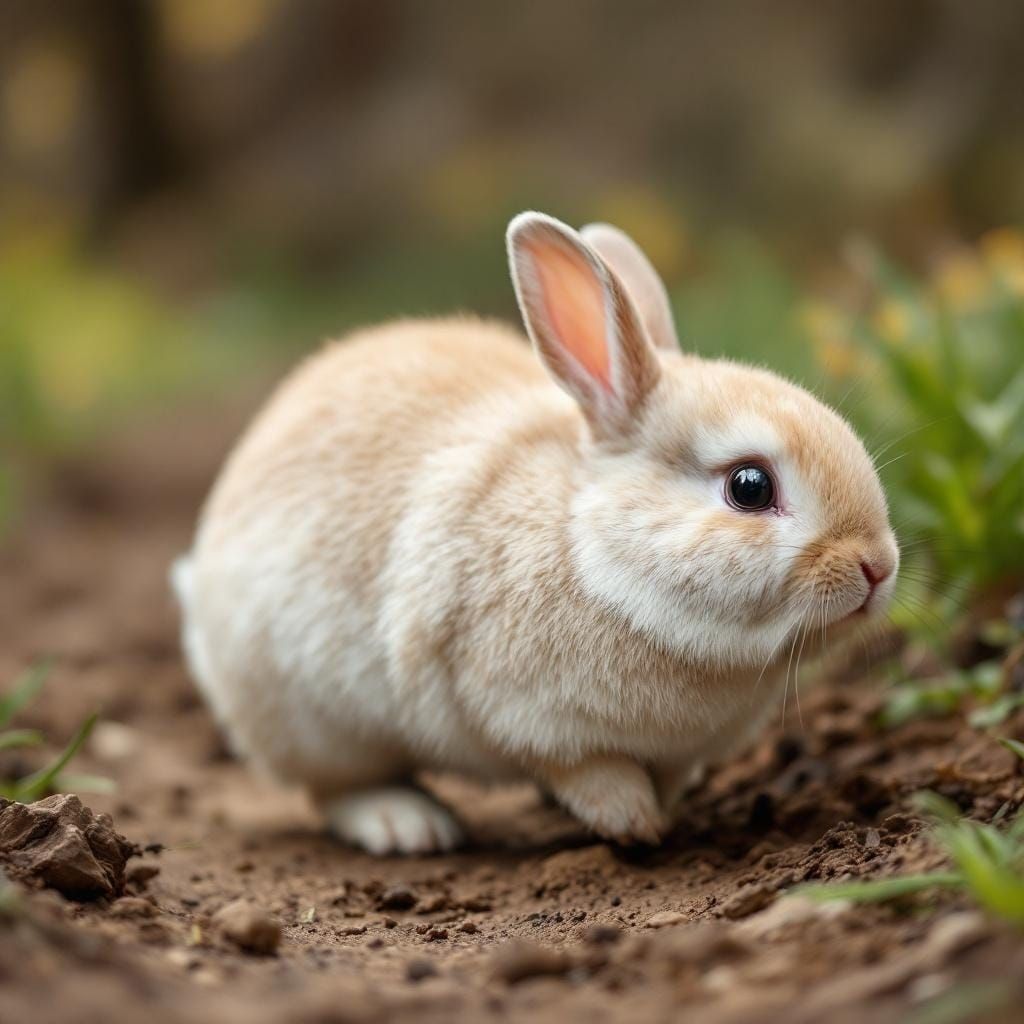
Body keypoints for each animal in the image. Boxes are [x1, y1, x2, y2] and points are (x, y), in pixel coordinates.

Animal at [172, 211, 898, 855]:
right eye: (750, 487)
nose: (878, 567)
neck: (593, 549)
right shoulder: (527, 719)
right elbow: (591, 773)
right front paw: (635, 825)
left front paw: (664, 818)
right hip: (314, 720)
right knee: (333, 789)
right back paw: (406, 825)